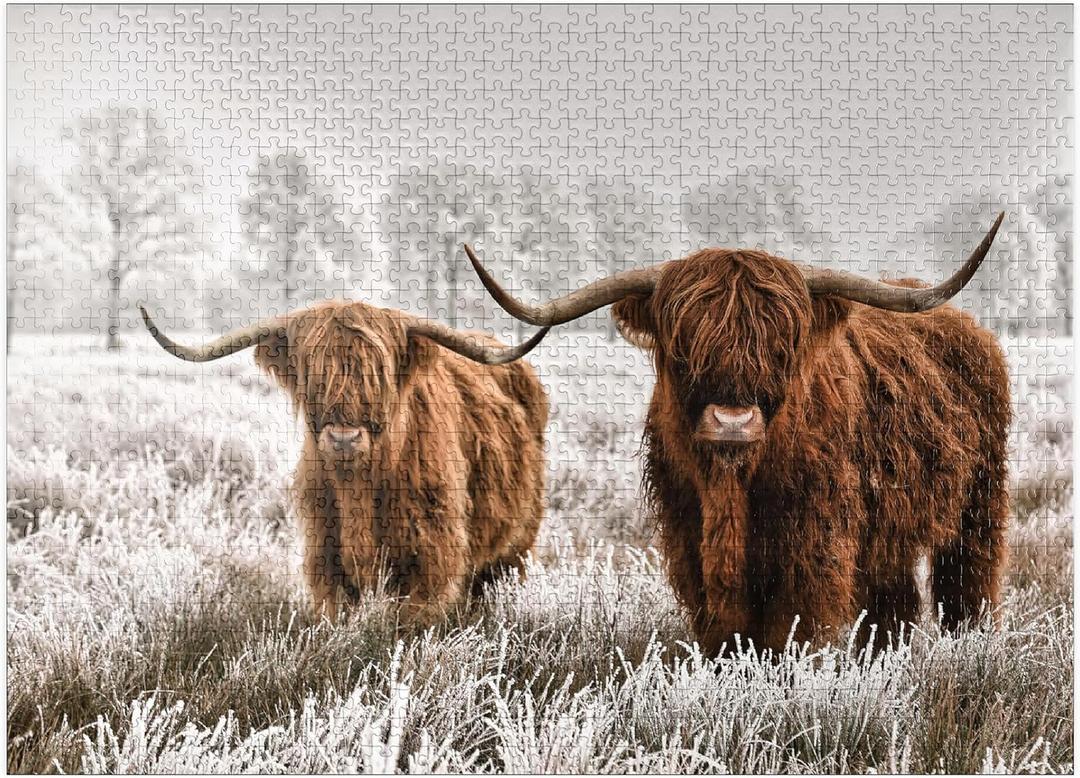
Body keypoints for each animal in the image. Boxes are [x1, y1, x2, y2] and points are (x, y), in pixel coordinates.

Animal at [140, 300, 550, 624]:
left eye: (378, 374)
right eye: (312, 373)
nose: (343, 438)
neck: (359, 489)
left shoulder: (430, 564)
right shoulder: (326, 560)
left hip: (517, 545)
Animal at [463, 213, 1010, 655]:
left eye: (781, 346)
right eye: (683, 347)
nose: (732, 422)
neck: (732, 487)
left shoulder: (815, 546)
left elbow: (790, 632)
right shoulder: (689, 537)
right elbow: (724, 632)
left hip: (979, 505)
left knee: (967, 587)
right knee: (893, 604)